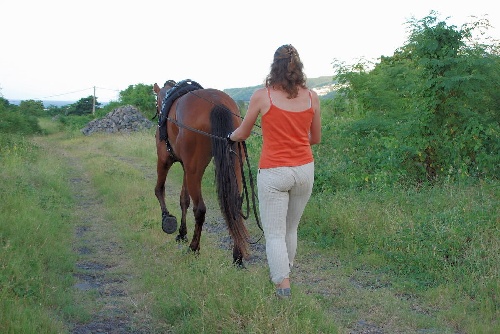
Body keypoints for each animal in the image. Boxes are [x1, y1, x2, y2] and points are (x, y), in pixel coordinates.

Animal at [150, 81, 248, 266]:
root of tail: (218, 103)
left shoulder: (164, 159)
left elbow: (159, 189)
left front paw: (167, 219)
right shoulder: (185, 167)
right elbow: (183, 200)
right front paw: (182, 233)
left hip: (194, 169)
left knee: (200, 209)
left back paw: (193, 247)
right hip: (232, 165)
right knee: (235, 206)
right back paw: (237, 256)